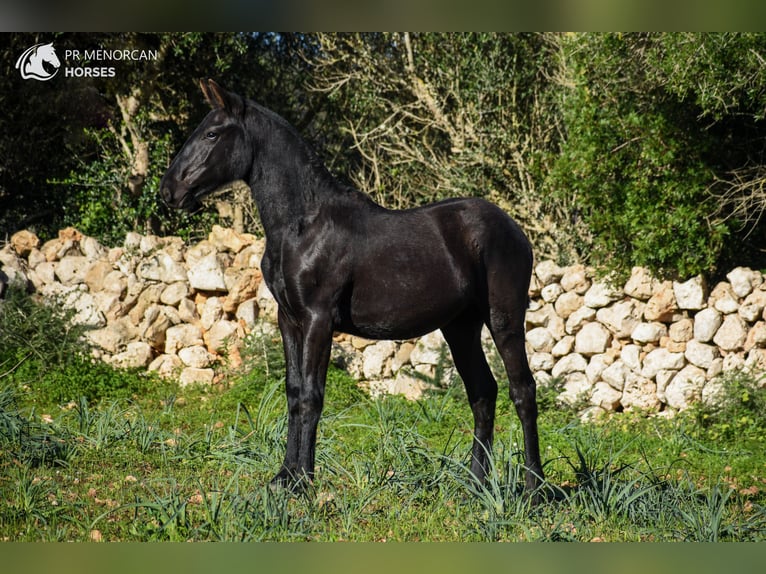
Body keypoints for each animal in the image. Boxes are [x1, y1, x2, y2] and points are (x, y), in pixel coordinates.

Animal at [162, 79, 544, 498]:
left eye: (212, 133)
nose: (168, 191)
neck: (303, 225)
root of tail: (515, 231)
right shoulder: (289, 320)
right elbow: (293, 392)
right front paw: (283, 477)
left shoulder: (318, 319)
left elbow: (311, 396)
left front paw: (303, 482)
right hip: (460, 327)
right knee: (483, 392)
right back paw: (475, 485)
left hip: (504, 319)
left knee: (523, 390)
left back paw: (535, 489)